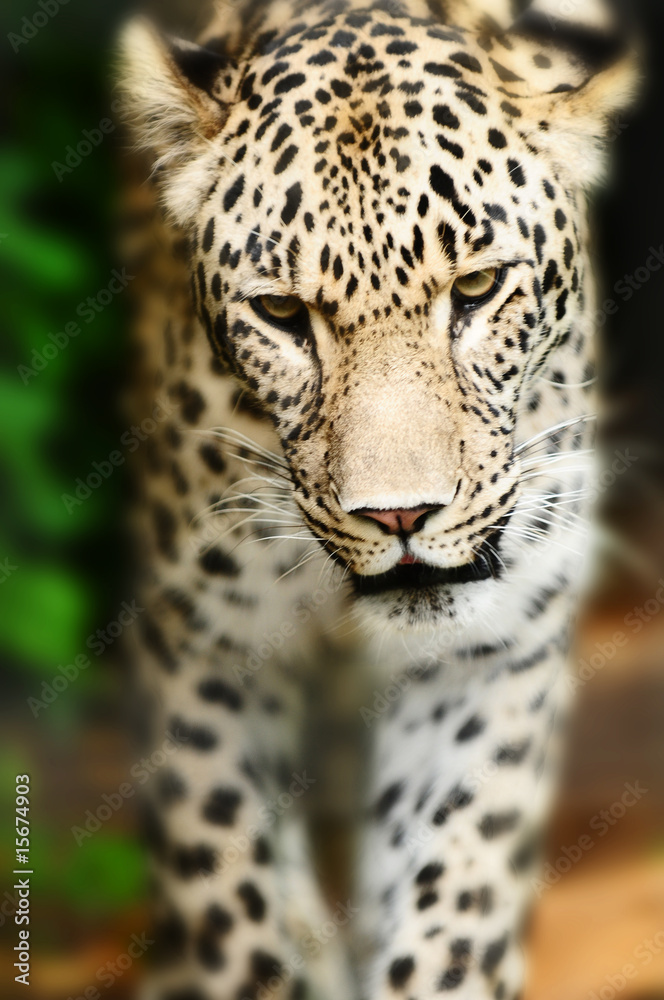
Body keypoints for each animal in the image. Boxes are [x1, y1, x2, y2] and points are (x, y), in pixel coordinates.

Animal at [116, 0, 636, 997]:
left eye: (477, 288)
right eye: (282, 314)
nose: (399, 516)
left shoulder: (495, 647)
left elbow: (458, 886)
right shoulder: (201, 645)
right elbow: (234, 899)